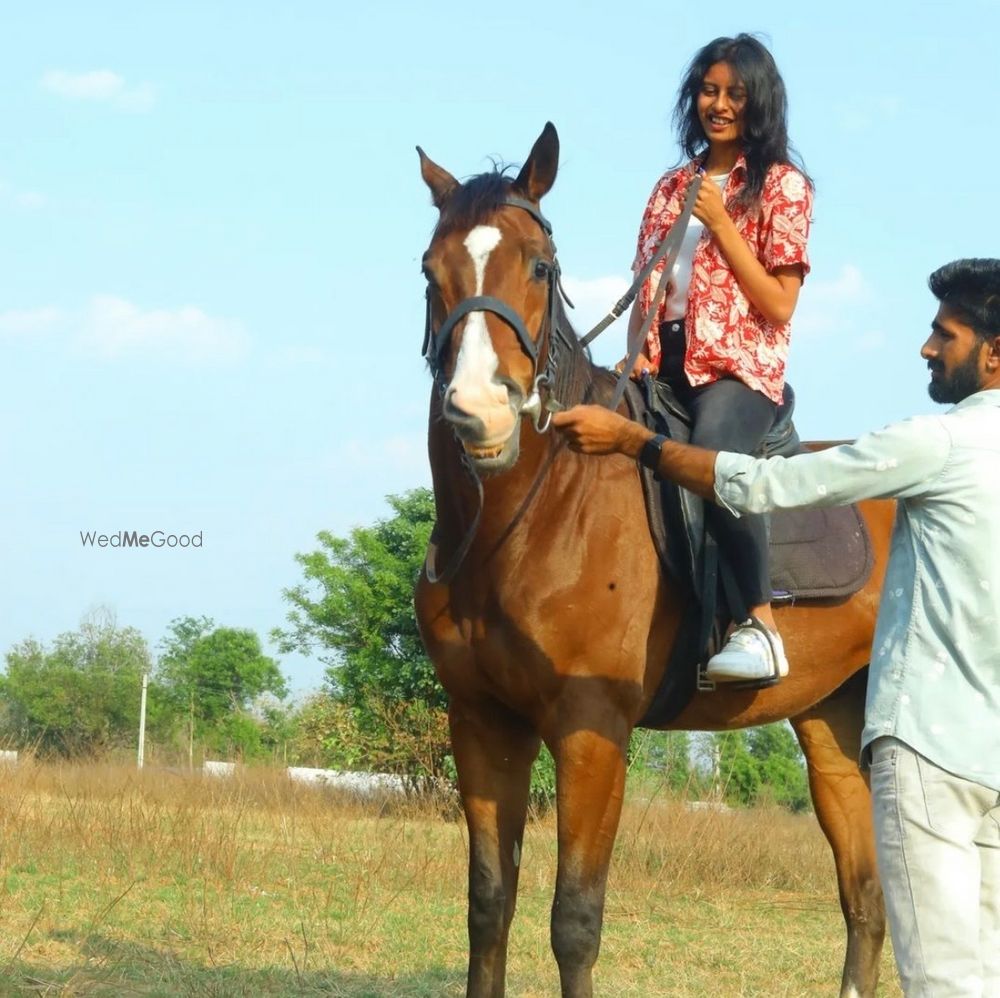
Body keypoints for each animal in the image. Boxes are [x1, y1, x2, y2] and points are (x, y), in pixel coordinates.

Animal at [412, 125, 892, 998]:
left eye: (540, 266)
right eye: (432, 272)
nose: (481, 410)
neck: (535, 513)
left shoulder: (593, 730)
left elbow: (574, 922)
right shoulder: (482, 722)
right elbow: (488, 906)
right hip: (834, 725)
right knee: (865, 902)